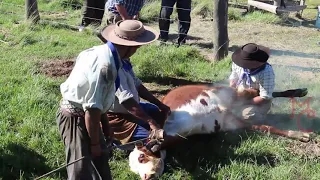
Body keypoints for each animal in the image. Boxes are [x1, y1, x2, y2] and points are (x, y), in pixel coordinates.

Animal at [127, 84, 310, 180]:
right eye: (134, 170)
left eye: (141, 157)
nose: (146, 177)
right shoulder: (226, 122)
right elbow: (263, 128)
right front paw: (299, 135)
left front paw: (301, 135)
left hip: (233, 92)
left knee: (261, 92)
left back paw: (299, 92)